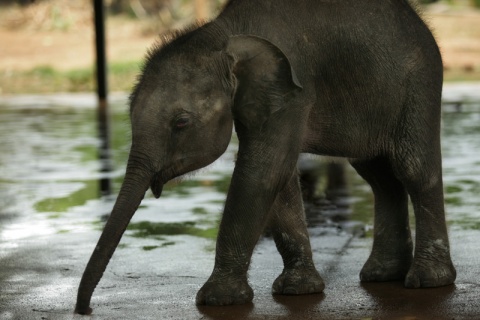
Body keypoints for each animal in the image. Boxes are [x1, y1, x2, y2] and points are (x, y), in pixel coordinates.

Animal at [74, 0, 454, 314]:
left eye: (181, 122)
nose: (85, 309)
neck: (223, 33)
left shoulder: (291, 91)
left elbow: (263, 171)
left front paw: (217, 300)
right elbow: (279, 178)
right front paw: (296, 291)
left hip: (419, 83)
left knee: (413, 168)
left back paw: (427, 280)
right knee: (378, 176)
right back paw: (381, 275)